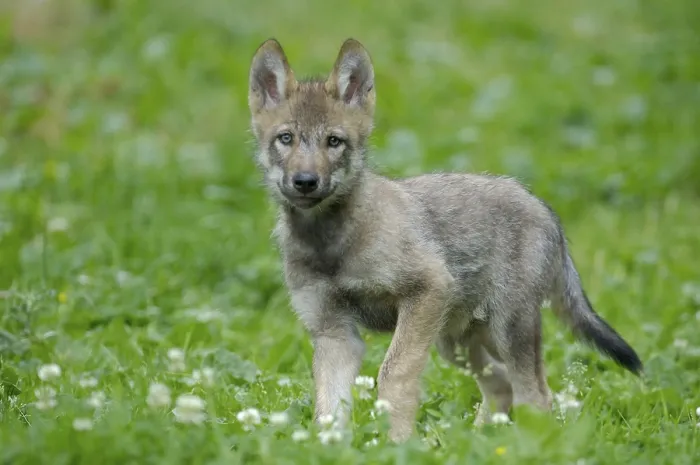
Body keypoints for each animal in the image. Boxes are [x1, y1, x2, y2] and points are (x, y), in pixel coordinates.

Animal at [247, 37, 642, 443]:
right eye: (286, 139)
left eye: (334, 141)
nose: (305, 182)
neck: (330, 246)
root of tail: (544, 208)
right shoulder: (334, 334)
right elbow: (327, 412)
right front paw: (329, 448)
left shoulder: (426, 291)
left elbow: (393, 376)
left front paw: (399, 445)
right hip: (457, 342)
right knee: (501, 388)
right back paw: (471, 443)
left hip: (506, 328)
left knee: (536, 396)